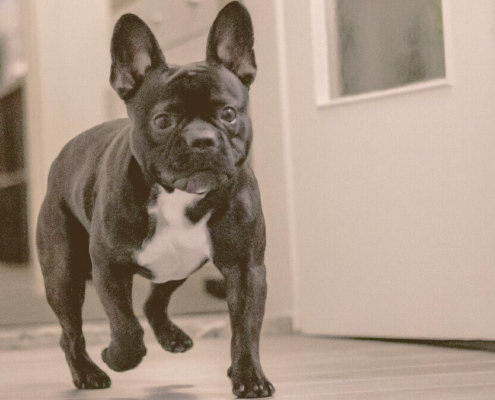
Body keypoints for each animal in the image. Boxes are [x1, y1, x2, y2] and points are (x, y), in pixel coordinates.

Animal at [35, 2, 276, 396]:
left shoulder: (245, 269)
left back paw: (171, 336)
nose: (202, 139)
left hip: (180, 264)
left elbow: (245, 328)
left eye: (228, 114)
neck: (178, 195)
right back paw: (87, 373)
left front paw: (249, 376)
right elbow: (124, 323)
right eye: (163, 121)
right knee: (70, 331)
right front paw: (119, 357)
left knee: (154, 301)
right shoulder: (109, 267)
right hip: (63, 273)